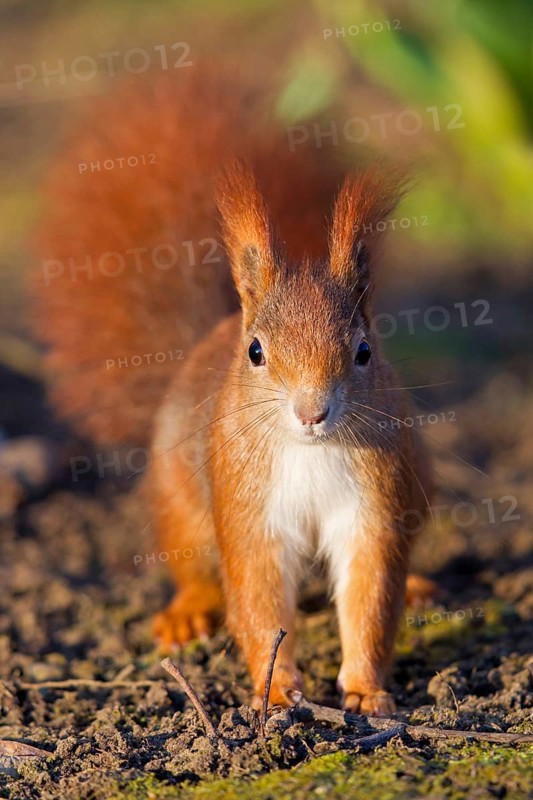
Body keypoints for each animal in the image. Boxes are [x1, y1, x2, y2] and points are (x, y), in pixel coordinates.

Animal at [32, 66, 434, 716]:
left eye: (364, 352)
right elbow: (258, 598)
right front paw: (278, 691)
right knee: (197, 569)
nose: (311, 412)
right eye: (256, 353)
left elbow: (370, 597)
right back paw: (187, 612)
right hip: (183, 506)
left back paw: (421, 585)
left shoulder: (373, 507)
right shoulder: (250, 509)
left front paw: (366, 690)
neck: (311, 453)